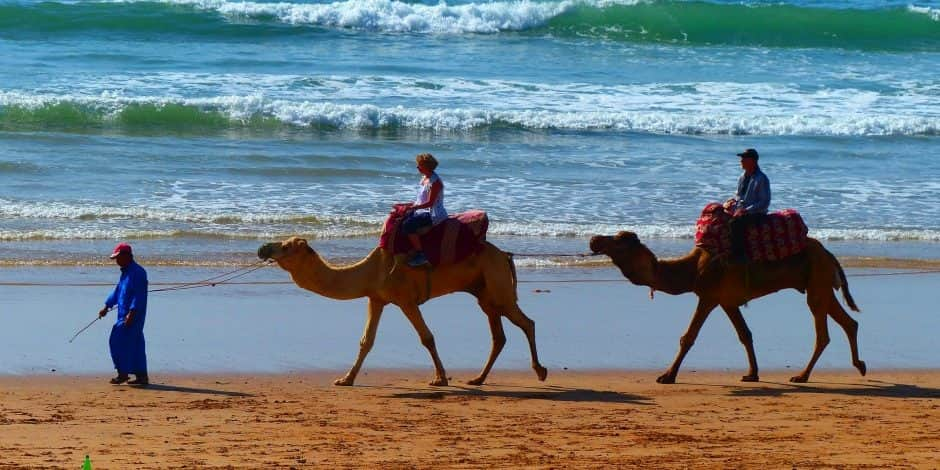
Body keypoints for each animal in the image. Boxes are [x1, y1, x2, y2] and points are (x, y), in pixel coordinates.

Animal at [258, 237, 552, 388]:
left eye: (286, 246)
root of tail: (504, 255)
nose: (263, 248)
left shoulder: (406, 300)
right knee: (499, 335)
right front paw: (346, 379)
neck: (371, 270)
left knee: (527, 322)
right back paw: (478, 378)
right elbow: (366, 341)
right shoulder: (376, 298)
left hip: (498, 286)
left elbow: (427, 337)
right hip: (485, 293)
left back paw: (540, 371)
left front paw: (440, 379)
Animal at [592, 229, 864, 384]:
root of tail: (828, 253)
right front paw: (752, 374)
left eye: (619, 241)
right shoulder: (727, 301)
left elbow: (688, 337)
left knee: (823, 333)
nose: (594, 239)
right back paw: (859, 365)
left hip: (817, 282)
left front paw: (667, 376)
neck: (692, 269)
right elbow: (745, 334)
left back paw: (802, 375)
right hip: (820, 284)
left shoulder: (709, 297)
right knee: (848, 322)